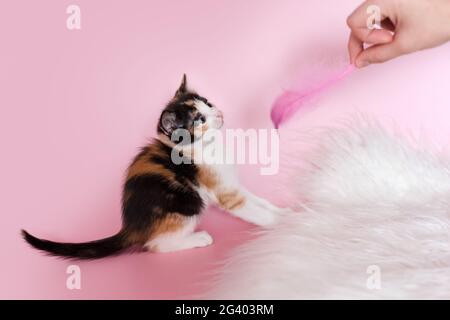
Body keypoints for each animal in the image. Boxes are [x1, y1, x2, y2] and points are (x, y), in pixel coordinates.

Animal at [22, 75, 288, 260]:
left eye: (209, 104)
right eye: (199, 119)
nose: (219, 113)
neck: (205, 147)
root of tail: (130, 228)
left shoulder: (232, 184)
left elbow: (258, 201)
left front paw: (282, 211)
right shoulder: (226, 193)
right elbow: (252, 210)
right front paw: (279, 223)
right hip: (188, 204)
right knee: (155, 245)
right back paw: (198, 238)